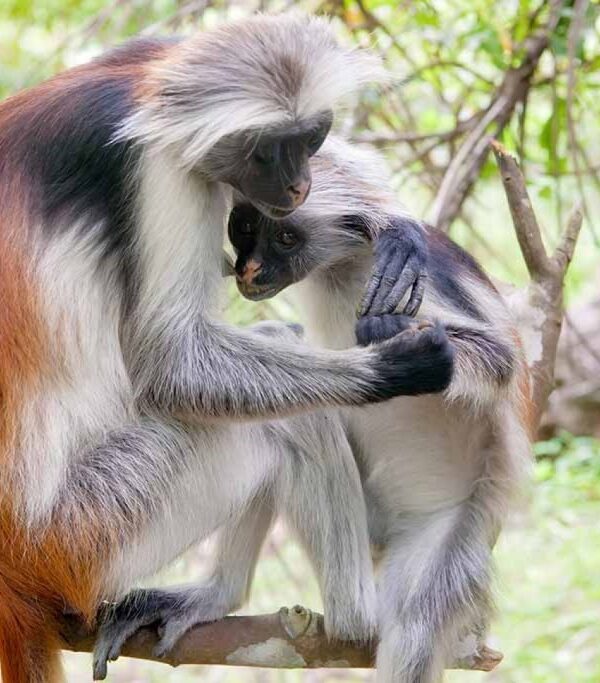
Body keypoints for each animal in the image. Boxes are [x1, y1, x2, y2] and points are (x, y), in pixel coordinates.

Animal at [0, 15, 459, 682]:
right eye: (267, 149)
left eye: (311, 138)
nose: (299, 185)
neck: (138, 99)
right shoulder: (159, 169)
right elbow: (171, 364)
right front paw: (394, 367)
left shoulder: (151, 68)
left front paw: (383, 214)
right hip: (84, 532)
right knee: (285, 422)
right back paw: (356, 621)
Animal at [228, 135, 533, 683]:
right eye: (244, 226)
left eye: (284, 237)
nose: (249, 269)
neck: (343, 265)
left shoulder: (421, 281)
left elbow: (499, 359)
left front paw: (394, 333)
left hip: (449, 529)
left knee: (414, 625)